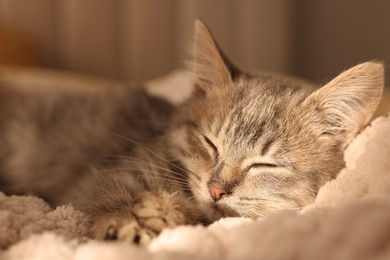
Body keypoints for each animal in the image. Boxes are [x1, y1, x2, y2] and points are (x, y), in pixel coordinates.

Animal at [0, 20, 384, 244]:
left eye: (265, 165)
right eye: (210, 144)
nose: (216, 189)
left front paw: (168, 212)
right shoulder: (106, 170)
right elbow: (105, 192)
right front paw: (129, 220)